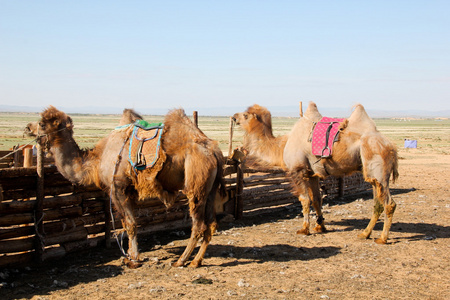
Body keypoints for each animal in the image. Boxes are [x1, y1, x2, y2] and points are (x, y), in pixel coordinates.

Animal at [24, 105, 225, 268]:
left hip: (196, 183)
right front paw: (128, 255)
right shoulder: (129, 191)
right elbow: (126, 223)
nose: (27, 128)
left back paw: (181, 260)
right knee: (211, 223)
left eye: (42, 124)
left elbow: (131, 224)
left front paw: (133, 260)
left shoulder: (118, 188)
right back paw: (196, 261)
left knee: (198, 224)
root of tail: (214, 150)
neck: (96, 161)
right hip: (210, 188)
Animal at [234, 103, 400, 244]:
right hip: (373, 174)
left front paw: (304, 229)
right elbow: (316, 199)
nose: (234, 116)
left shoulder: (298, 171)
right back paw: (365, 234)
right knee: (377, 203)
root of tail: (391, 146)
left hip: (377, 165)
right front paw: (320, 226)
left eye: (246, 115)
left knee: (389, 203)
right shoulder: (312, 174)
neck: (281, 146)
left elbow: (304, 199)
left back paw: (382, 238)